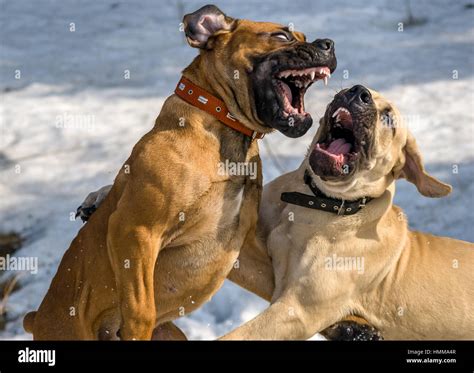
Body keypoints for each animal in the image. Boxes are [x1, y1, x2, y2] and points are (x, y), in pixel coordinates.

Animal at [24, 3, 336, 340]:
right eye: (281, 36)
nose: (328, 44)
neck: (221, 125)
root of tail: (38, 318)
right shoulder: (133, 230)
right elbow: (141, 309)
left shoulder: (243, 245)